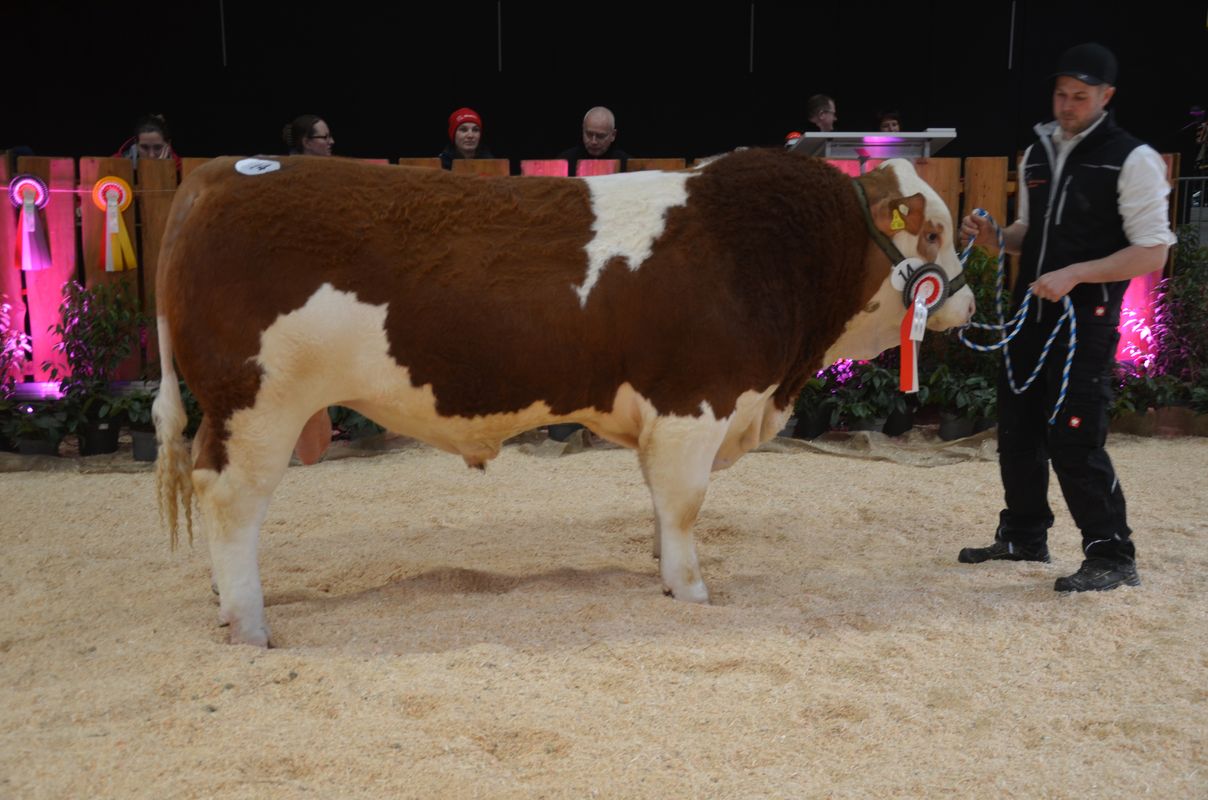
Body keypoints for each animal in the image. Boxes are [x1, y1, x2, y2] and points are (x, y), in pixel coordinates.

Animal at [153, 148, 974, 646]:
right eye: (934, 232)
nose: (964, 304)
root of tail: (216, 174)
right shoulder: (695, 404)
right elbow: (684, 505)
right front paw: (691, 592)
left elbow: (658, 503)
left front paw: (662, 571)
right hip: (256, 404)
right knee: (230, 500)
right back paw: (250, 625)